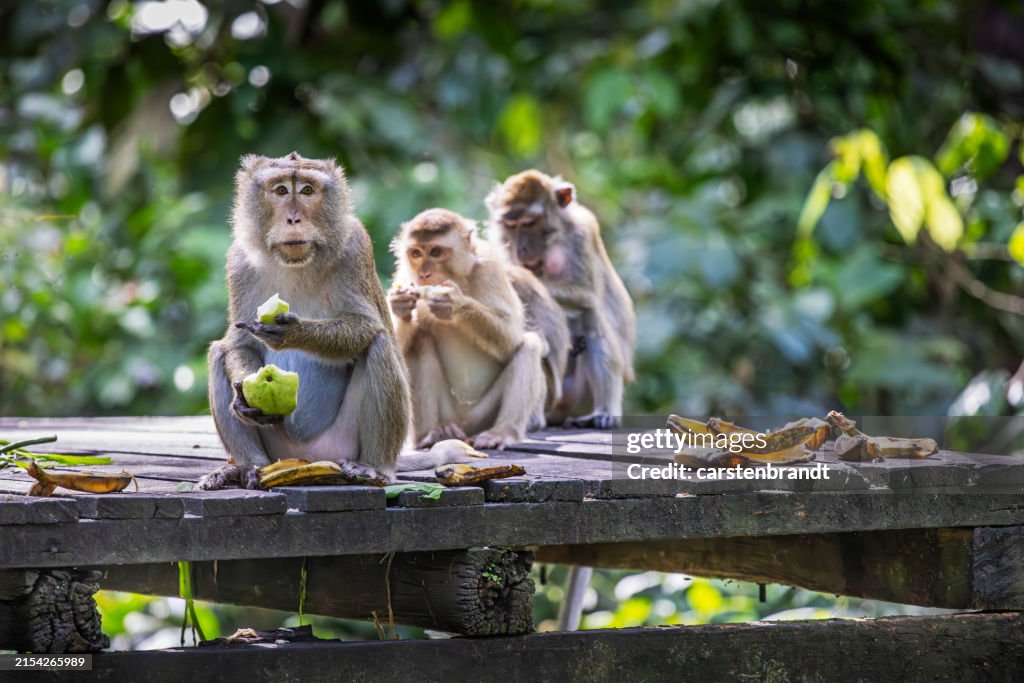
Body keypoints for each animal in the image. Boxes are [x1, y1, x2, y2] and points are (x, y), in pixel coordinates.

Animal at [198, 152, 412, 490]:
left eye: (308, 191)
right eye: (281, 190)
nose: (294, 219)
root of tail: (309, 458)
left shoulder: (355, 247)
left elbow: (367, 326)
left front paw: (293, 333)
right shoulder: (238, 262)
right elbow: (239, 344)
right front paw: (241, 400)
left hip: (341, 442)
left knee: (377, 345)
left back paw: (373, 468)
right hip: (278, 448)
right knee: (219, 351)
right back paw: (247, 468)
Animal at [387, 208, 547, 450]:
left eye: (435, 251)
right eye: (415, 253)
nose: (423, 275)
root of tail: (464, 425)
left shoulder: (490, 267)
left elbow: (511, 338)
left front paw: (455, 303)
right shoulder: (404, 275)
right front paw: (400, 305)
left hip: (481, 417)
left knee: (529, 345)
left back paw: (502, 433)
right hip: (449, 413)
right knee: (420, 339)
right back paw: (430, 434)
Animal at [485, 170, 636, 429]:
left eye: (529, 223)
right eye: (510, 225)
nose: (521, 248)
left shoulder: (583, 232)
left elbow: (586, 292)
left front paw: (509, 274)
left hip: (577, 397)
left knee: (591, 315)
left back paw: (604, 412)